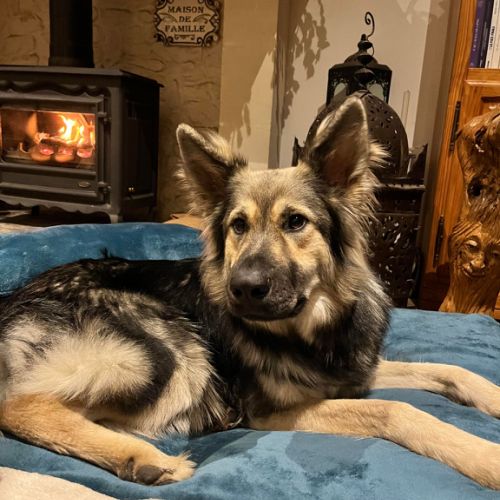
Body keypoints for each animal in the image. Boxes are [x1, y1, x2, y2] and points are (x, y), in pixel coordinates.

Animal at [0, 96, 499, 489]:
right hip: (164, 349)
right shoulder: (271, 412)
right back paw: (142, 459)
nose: (242, 288)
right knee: (18, 405)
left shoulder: (356, 372)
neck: (312, 328)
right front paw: (485, 457)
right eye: (238, 226)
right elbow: (396, 410)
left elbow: (449, 369)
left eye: (295, 222)